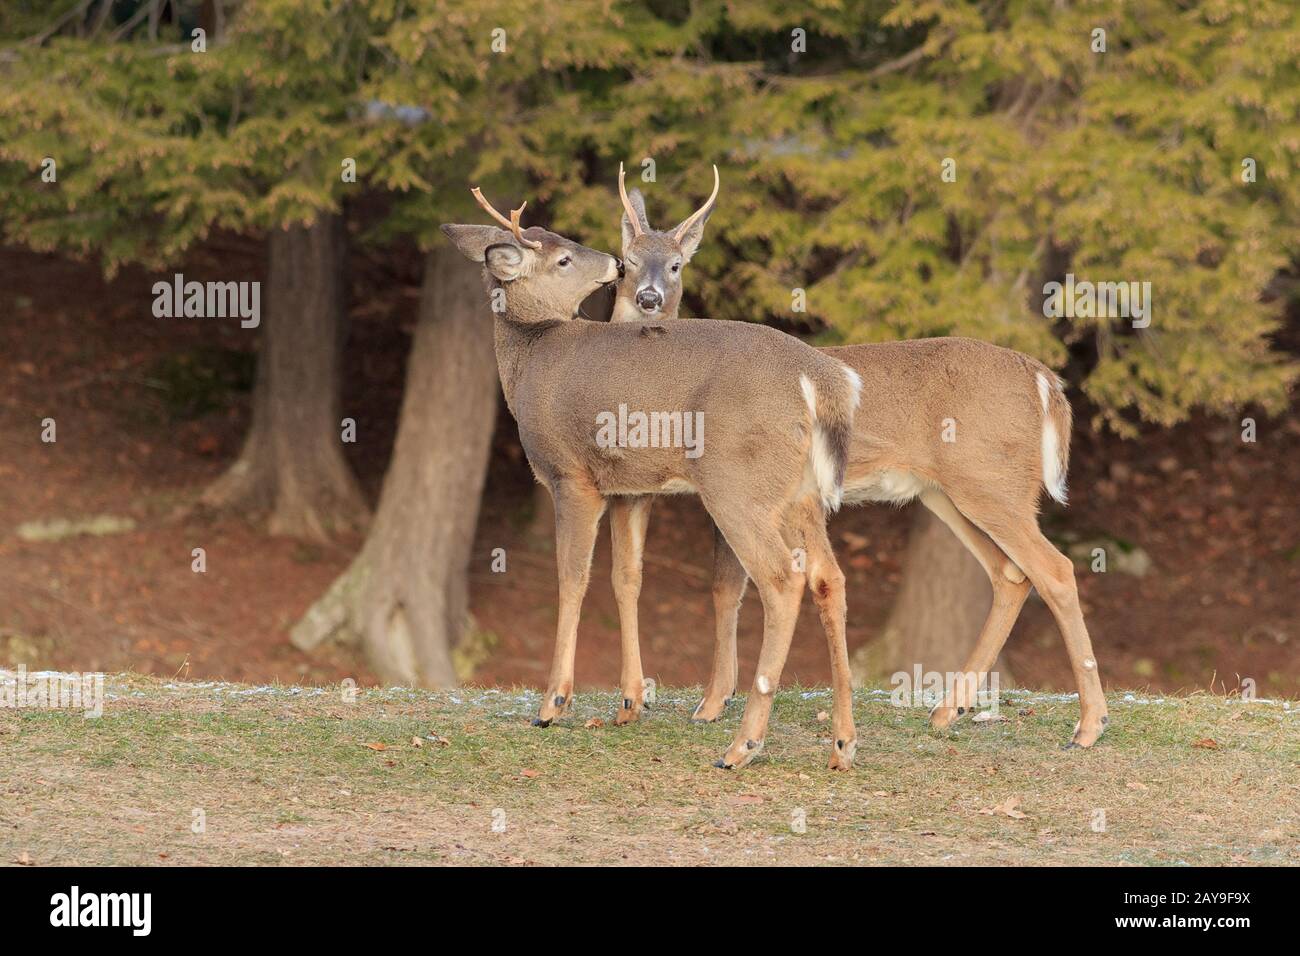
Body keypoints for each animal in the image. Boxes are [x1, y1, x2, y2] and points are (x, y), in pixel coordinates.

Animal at [444, 184, 863, 770]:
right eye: (564, 256)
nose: (616, 264)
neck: (530, 360)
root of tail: (819, 378)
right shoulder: (631, 487)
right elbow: (626, 577)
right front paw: (629, 703)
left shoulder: (571, 475)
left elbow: (571, 577)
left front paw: (553, 703)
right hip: (799, 493)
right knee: (830, 578)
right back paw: (843, 743)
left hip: (737, 483)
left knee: (783, 580)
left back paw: (742, 745)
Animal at [605, 166, 1107, 749]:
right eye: (626, 259)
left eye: (677, 264)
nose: (648, 297)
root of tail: (1045, 381)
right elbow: (722, 586)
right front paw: (710, 701)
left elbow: (726, 587)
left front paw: (710, 704)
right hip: (948, 493)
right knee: (1011, 574)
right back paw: (948, 710)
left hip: (991, 481)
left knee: (1056, 569)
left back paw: (1088, 725)